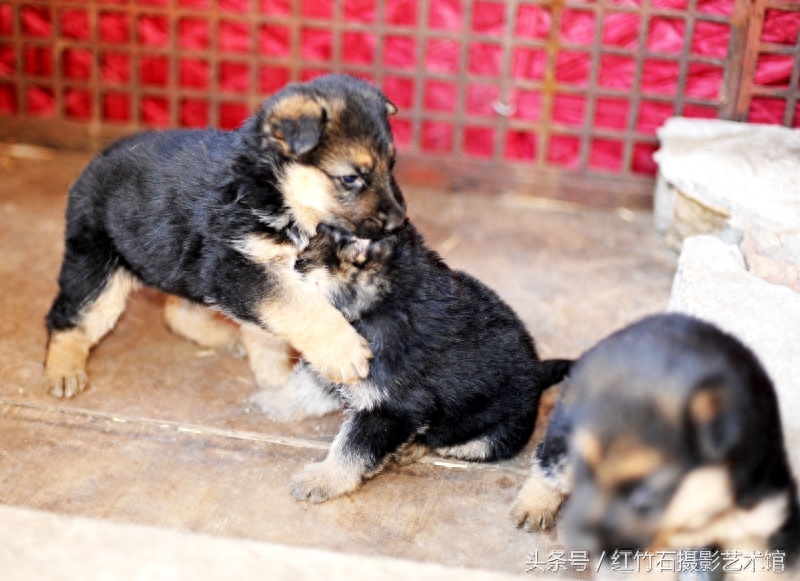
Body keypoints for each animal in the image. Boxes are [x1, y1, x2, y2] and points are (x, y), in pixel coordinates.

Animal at [43, 72, 406, 396]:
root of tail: (92, 165)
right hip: (99, 271)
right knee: (70, 316)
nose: (399, 223)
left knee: (176, 312)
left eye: (391, 167)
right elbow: (302, 308)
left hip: (180, 266)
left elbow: (273, 327)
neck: (272, 189)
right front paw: (342, 351)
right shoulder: (238, 268)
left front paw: (274, 377)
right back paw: (62, 370)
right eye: (351, 178)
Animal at [253, 222, 572, 502]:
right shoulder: (341, 361)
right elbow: (306, 386)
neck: (381, 303)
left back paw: (414, 447)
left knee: (458, 442)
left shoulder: (391, 410)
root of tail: (539, 373)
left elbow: (351, 448)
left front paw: (322, 479)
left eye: (300, 260)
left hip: (495, 435)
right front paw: (274, 401)